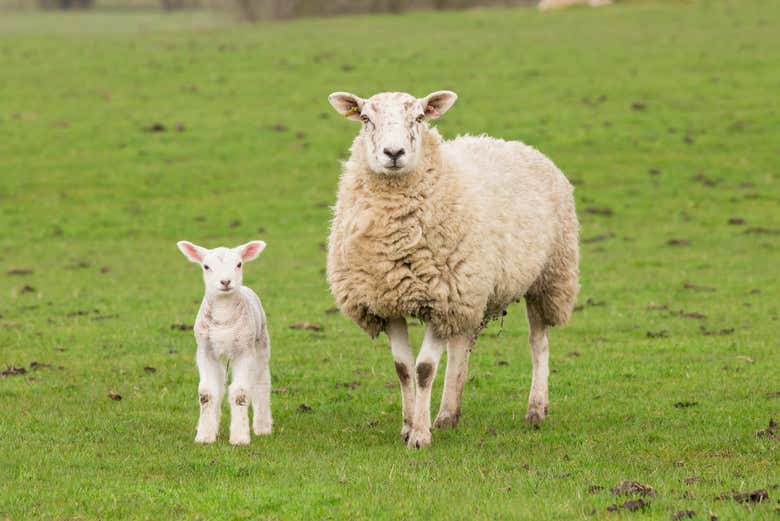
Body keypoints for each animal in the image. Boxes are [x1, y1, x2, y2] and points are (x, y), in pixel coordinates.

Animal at [175, 239, 272, 442]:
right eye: (206, 266)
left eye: (239, 264)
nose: (226, 281)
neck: (223, 312)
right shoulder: (205, 351)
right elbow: (206, 393)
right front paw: (204, 435)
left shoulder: (244, 351)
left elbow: (240, 393)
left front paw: (240, 437)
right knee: (219, 386)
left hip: (261, 343)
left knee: (261, 382)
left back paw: (263, 426)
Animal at [324, 89, 580, 446]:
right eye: (365, 118)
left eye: (419, 117)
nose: (394, 153)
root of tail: (513, 144)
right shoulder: (388, 301)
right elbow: (403, 367)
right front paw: (408, 426)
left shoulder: (441, 298)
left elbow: (424, 369)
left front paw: (419, 435)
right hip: (472, 288)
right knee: (462, 345)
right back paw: (448, 414)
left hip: (549, 276)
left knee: (538, 341)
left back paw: (536, 409)